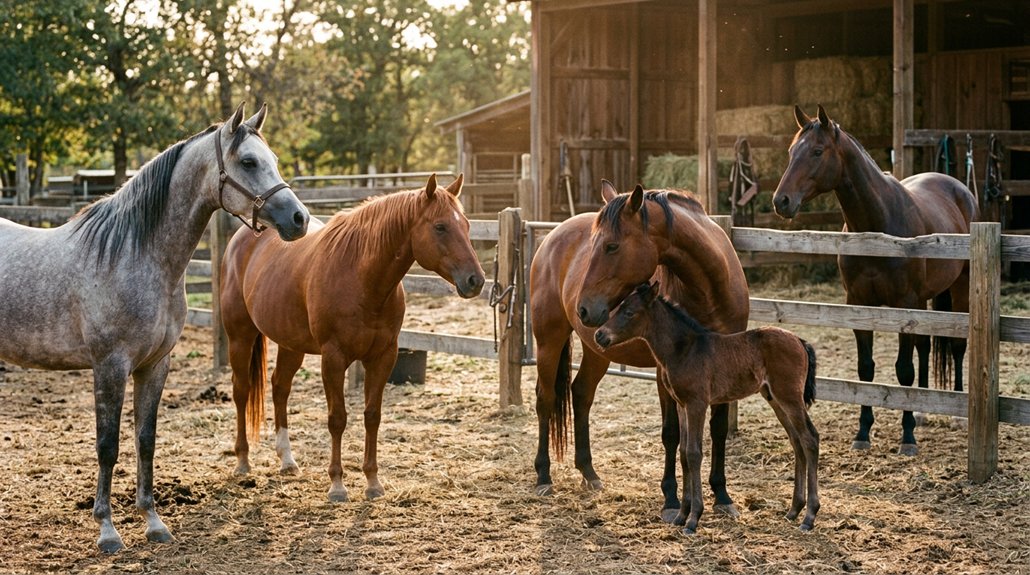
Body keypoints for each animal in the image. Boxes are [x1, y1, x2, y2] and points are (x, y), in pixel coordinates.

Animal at [0, 102, 310, 552]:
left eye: (275, 160)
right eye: (249, 162)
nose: (299, 218)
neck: (133, 254)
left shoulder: (155, 365)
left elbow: (145, 439)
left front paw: (153, 522)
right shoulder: (110, 366)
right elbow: (107, 445)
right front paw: (107, 530)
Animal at [221, 173, 485, 502]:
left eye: (467, 225)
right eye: (440, 227)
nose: (476, 281)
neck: (360, 277)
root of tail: (242, 239)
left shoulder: (383, 357)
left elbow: (372, 415)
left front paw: (372, 482)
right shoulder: (334, 359)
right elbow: (338, 418)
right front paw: (337, 485)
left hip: (290, 343)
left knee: (280, 387)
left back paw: (287, 460)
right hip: (240, 336)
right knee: (241, 390)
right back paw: (243, 461)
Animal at [530, 181, 750, 522]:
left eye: (611, 246)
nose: (583, 308)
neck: (712, 287)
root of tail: (552, 236)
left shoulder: (720, 367)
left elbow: (718, 429)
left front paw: (722, 495)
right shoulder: (665, 373)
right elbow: (671, 433)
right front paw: (672, 499)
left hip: (597, 350)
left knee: (581, 394)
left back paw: (589, 472)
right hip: (548, 339)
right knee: (546, 398)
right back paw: (543, 476)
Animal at [594, 281, 820, 534]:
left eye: (629, 312)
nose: (599, 335)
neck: (684, 349)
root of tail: (800, 341)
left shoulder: (697, 404)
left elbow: (694, 453)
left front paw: (693, 519)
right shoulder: (682, 405)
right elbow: (683, 453)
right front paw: (681, 515)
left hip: (789, 397)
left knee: (810, 439)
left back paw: (809, 516)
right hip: (775, 398)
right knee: (797, 441)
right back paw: (794, 510)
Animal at [772, 104, 978, 455]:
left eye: (817, 151)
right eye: (790, 152)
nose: (781, 201)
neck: (877, 228)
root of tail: (959, 188)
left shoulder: (904, 305)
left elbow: (904, 370)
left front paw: (907, 438)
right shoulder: (859, 304)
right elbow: (865, 370)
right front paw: (863, 432)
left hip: (958, 289)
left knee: (956, 346)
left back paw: (957, 416)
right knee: (925, 348)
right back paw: (923, 411)